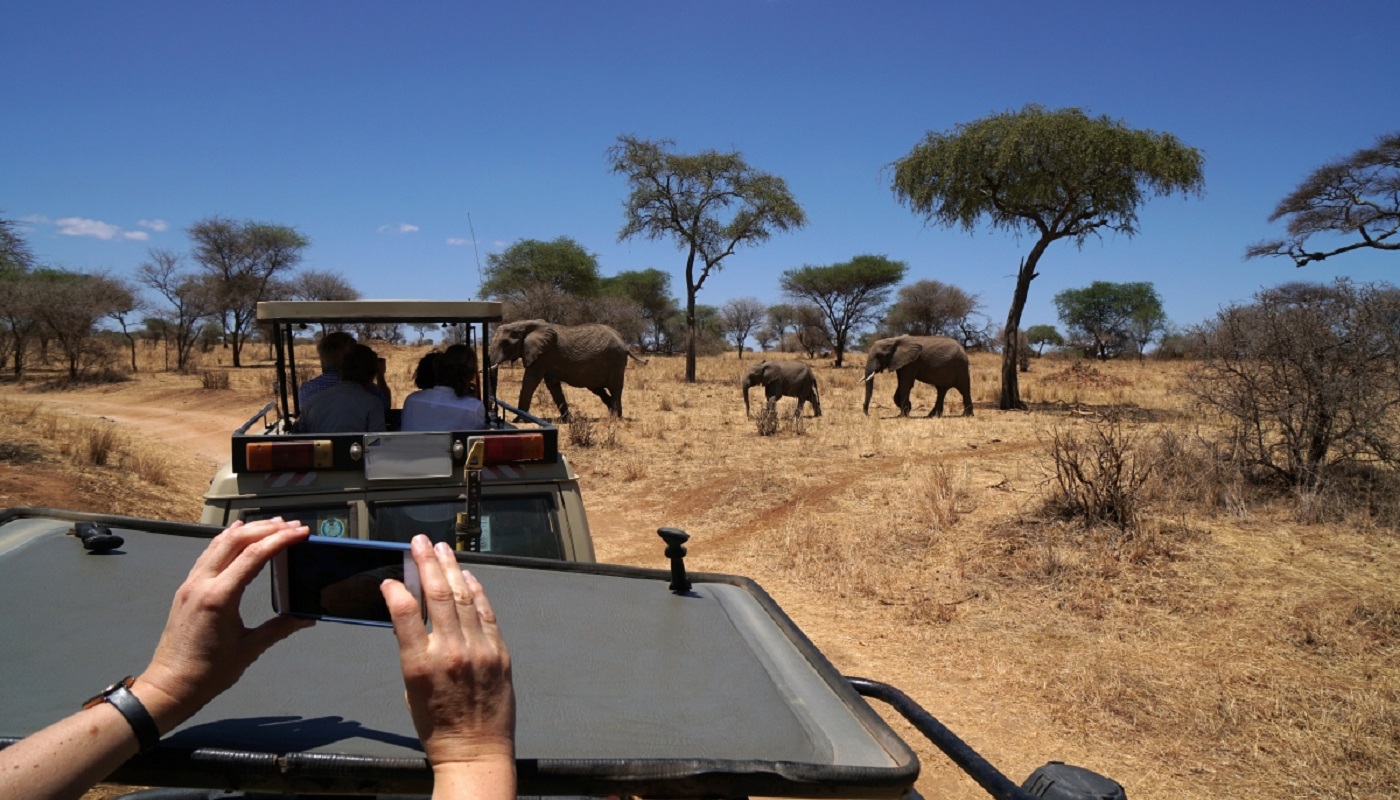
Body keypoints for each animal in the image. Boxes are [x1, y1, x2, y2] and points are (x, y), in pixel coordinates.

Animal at [490, 319, 646, 423]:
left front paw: (519, 420)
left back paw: (616, 418)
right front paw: (566, 420)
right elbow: (552, 385)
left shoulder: (543, 354)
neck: (524, 324)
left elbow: (530, 380)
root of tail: (624, 343)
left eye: (505, 344)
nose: (494, 412)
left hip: (615, 361)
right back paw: (612, 413)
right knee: (599, 390)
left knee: (615, 388)